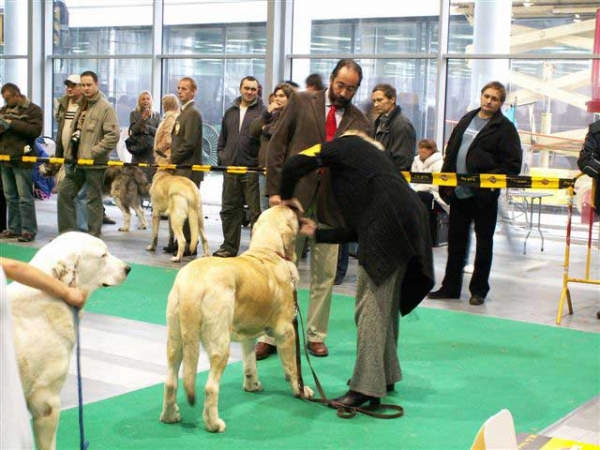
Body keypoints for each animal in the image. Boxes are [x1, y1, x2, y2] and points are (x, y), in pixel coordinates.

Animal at [162, 207, 316, 432]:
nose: (296, 207)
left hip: (175, 339)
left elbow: (250, 364)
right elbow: (293, 368)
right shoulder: (286, 332)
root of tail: (192, 285)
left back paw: (169, 416)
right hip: (220, 345)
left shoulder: (248, 336)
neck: (268, 252)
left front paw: (252, 385)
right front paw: (302, 390)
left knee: (170, 381)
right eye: (293, 214)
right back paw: (214, 424)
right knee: (210, 388)